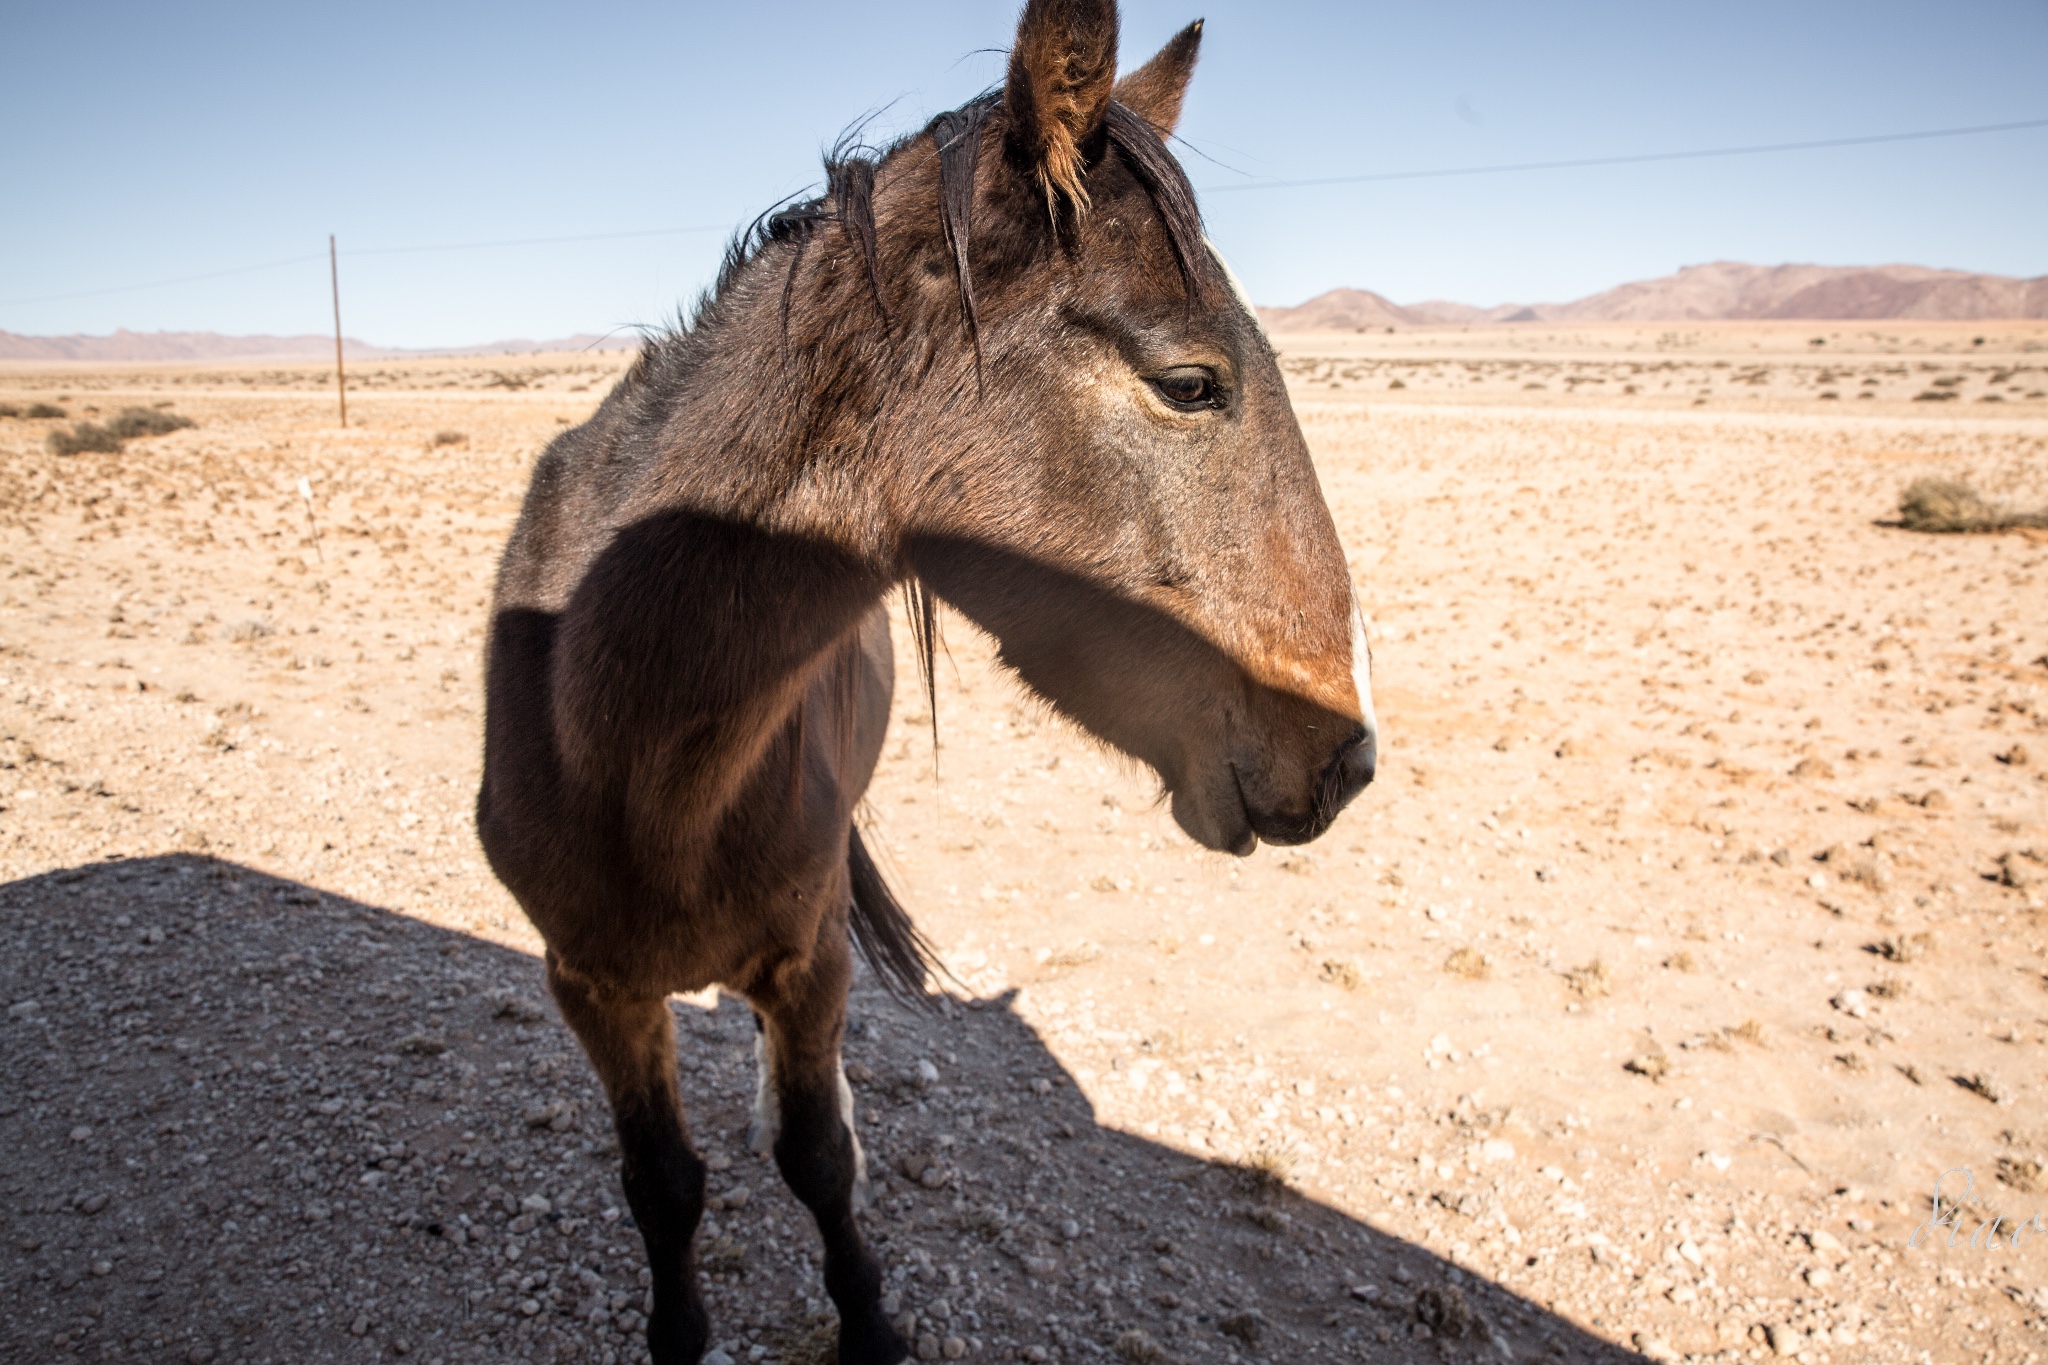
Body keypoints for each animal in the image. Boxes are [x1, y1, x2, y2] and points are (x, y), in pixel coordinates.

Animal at [475, 2, 1376, 1365]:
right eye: (1188, 383)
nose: (1345, 758)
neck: (631, 751)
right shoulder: (589, 983)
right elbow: (663, 1185)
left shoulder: (809, 962)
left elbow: (818, 1158)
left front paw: (868, 1321)